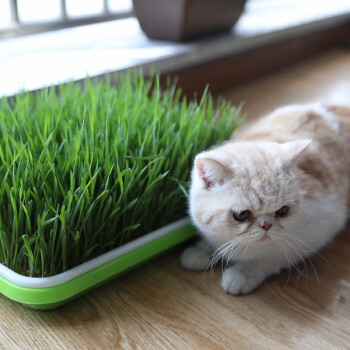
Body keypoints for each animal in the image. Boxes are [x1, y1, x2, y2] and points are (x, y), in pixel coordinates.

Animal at [180, 104, 350, 296]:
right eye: (241, 214)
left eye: (283, 210)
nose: (266, 225)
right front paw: (200, 250)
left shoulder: (321, 227)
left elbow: (271, 257)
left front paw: (244, 273)